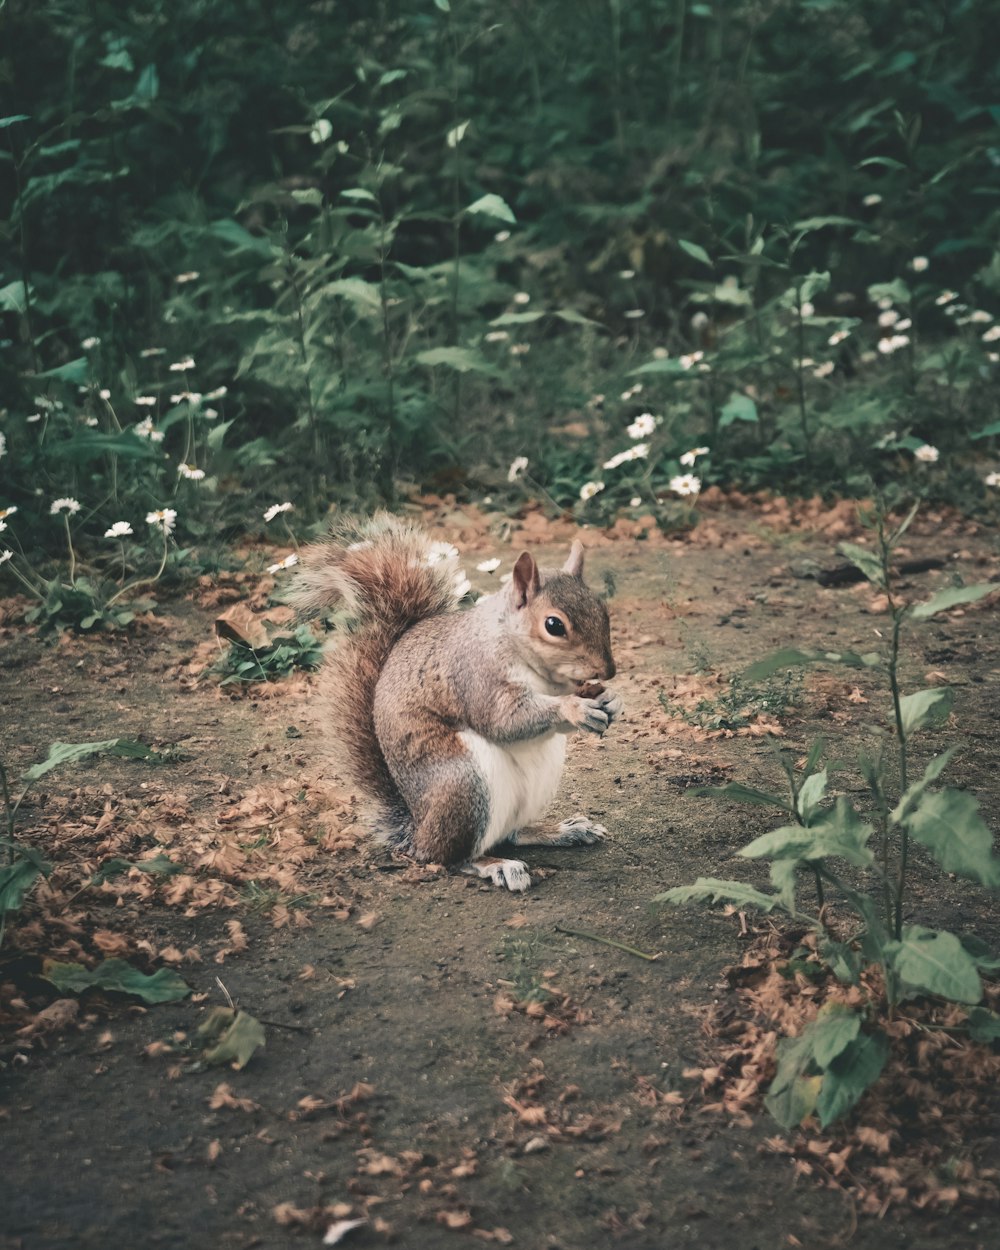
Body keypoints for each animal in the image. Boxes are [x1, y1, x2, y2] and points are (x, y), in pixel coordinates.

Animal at [287, 512, 625, 895]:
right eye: (553, 625)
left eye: (602, 611)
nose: (608, 671)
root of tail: (418, 829)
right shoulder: (475, 676)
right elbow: (503, 720)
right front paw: (573, 707)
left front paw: (611, 699)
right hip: (464, 786)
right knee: (450, 857)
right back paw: (497, 865)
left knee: (512, 834)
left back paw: (563, 831)